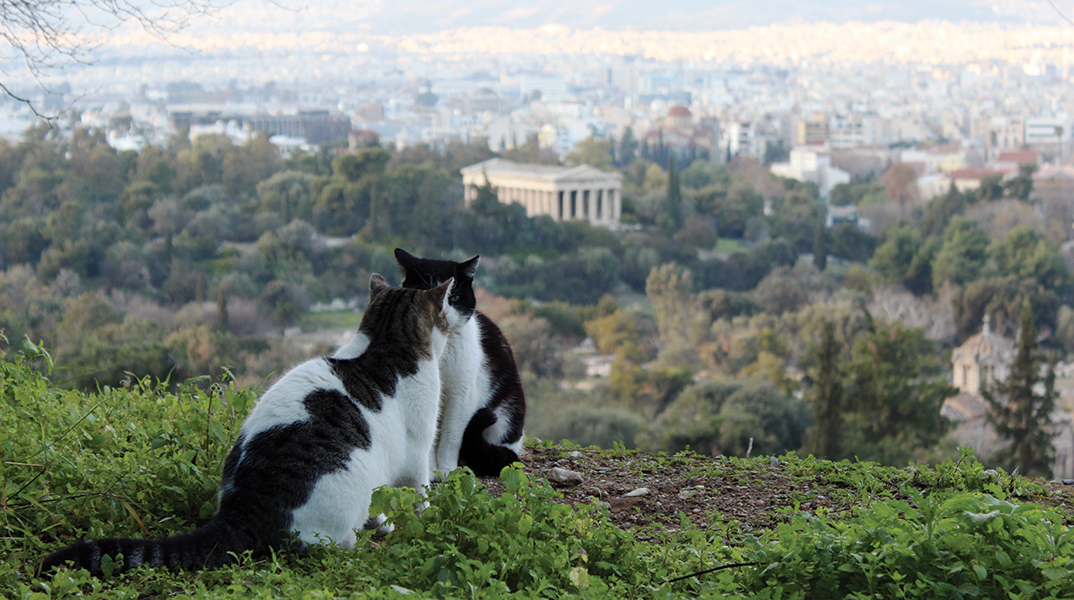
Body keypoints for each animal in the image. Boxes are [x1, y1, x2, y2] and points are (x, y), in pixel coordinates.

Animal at [42, 273, 457, 579]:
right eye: (444, 312)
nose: (454, 319)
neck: (383, 344)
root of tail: (241, 511)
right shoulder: (416, 455)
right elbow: (418, 496)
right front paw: (412, 523)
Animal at [395, 246, 528, 476]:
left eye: (455, 297)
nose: (442, 312)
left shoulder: (462, 394)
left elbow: (451, 435)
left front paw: (447, 469)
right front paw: (431, 470)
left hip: (506, 411)